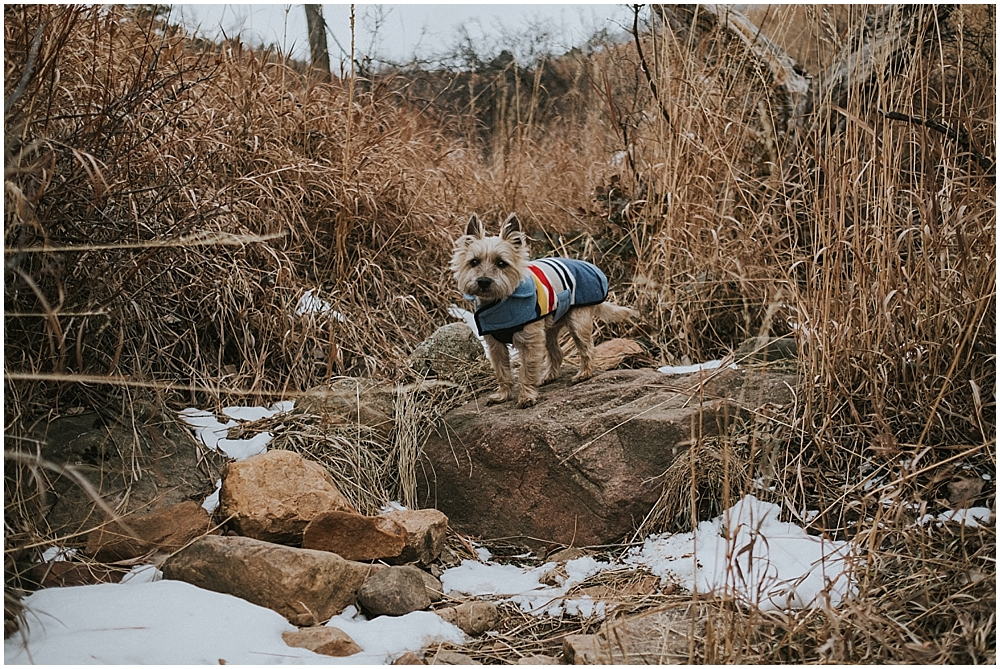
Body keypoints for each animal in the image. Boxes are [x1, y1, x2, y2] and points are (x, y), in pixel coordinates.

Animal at [452, 213, 636, 408]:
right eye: (474, 262)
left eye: (501, 263)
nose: (483, 281)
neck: (499, 302)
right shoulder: (495, 345)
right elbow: (502, 370)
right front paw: (503, 395)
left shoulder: (530, 341)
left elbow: (526, 370)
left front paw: (526, 396)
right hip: (549, 330)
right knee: (557, 352)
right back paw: (548, 377)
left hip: (577, 323)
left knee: (587, 349)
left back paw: (584, 374)